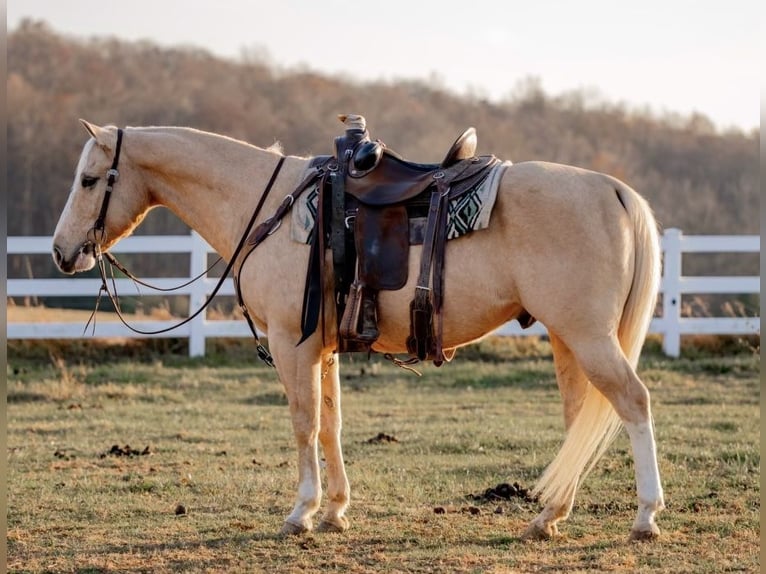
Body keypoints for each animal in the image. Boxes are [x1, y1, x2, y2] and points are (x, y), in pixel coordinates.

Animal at [52, 119, 664, 541]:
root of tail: (612, 189)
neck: (265, 205)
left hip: (588, 338)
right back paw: (548, 516)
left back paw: (645, 515)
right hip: (568, 339)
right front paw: (336, 510)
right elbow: (331, 425)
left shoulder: (290, 343)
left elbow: (303, 424)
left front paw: (301, 512)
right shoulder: (322, 348)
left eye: (88, 179)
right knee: (581, 417)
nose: (61, 252)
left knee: (633, 403)